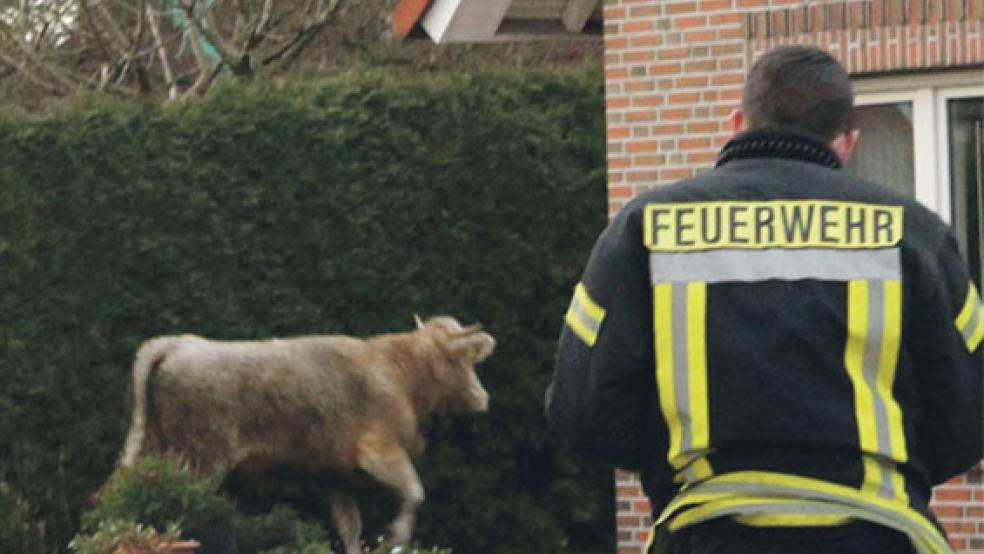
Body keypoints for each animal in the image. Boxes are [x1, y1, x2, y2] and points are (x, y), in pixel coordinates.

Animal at [119, 314, 496, 552]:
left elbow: (350, 529)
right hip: (202, 458)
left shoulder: (336, 475)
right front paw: (397, 537)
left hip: (154, 449)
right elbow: (414, 492)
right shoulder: (379, 451)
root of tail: (177, 344)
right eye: (465, 360)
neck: (396, 372)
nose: (483, 397)